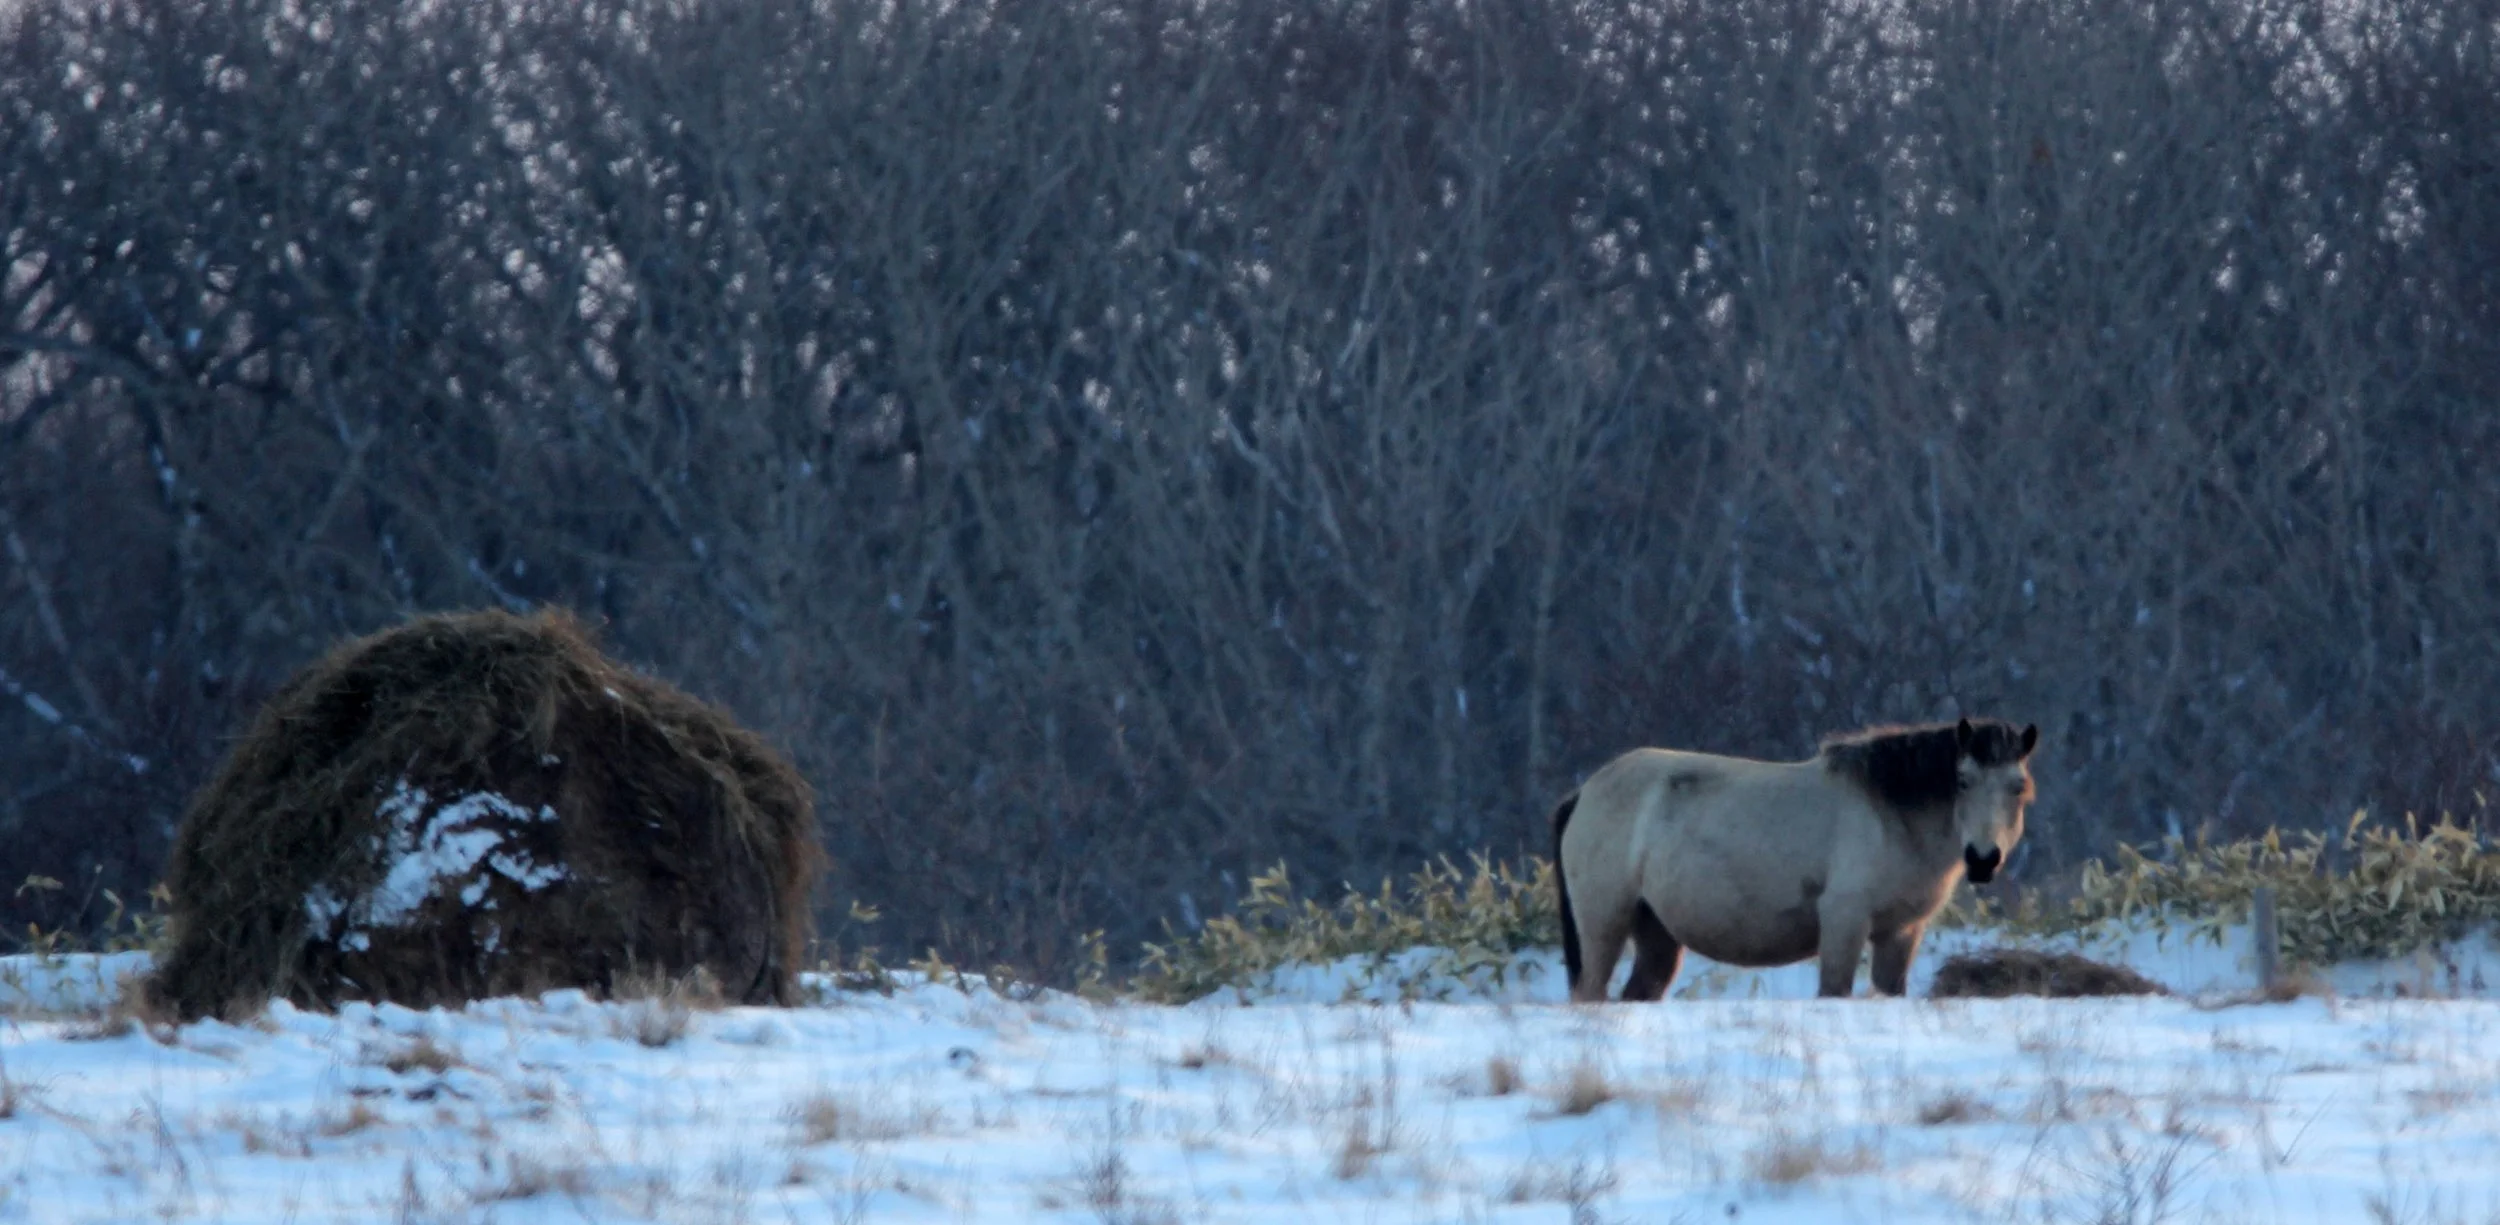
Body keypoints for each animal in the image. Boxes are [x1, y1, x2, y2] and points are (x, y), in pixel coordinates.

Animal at [1550, 717, 2037, 1001]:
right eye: (1963, 780)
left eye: (2017, 787)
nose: (1982, 859)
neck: (1890, 815)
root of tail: (1583, 792)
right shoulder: (1844, 922)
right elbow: (1834, 990)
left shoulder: (1901, 932)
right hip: (1604, 925)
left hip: (1656, 936)